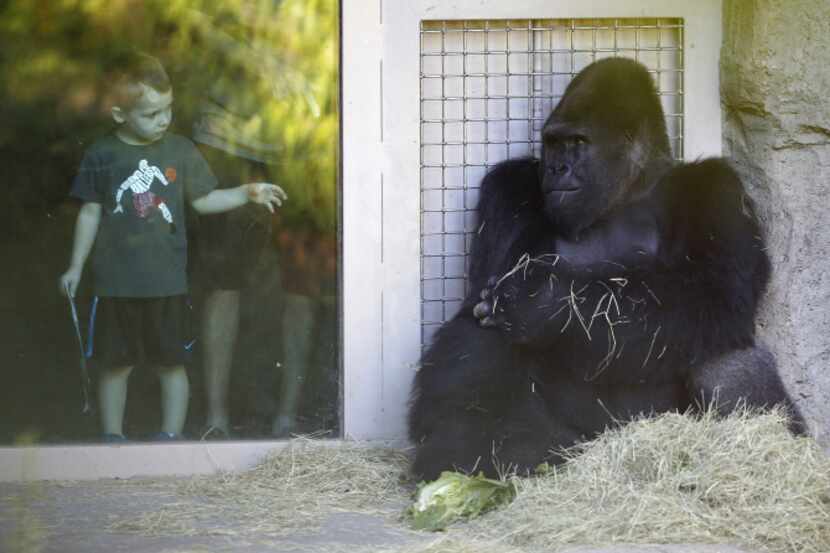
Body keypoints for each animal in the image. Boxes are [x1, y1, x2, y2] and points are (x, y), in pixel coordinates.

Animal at [408, 57, 808, 478]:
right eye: (552, 144)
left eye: (578, 143)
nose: (557, 168)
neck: (628, 192)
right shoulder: (508, 187)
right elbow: (478, 307)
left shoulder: (717, 189)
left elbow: (716, 294)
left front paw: (544, 304)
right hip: (580, 440)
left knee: (721, 347)